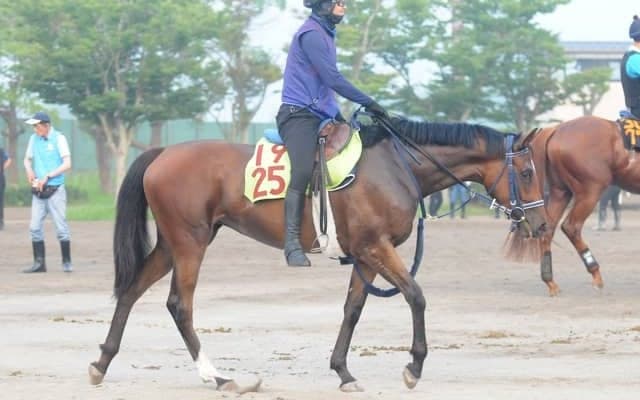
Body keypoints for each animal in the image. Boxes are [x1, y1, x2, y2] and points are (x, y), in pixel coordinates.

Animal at [88, 116, 548, 393]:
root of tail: (163, 153)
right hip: (190, 243)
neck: (396, 166)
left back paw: (102, 362)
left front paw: (343, 370)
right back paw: (216, 376)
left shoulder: (365, 256)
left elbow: (353, 309)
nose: (541, 225)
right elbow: (416, 296)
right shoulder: (376, 248)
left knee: (130, 292)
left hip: (173, 244)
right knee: (179, 304)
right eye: (527, 172)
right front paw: (414, 367)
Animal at [527, 115, 640, 296]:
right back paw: (595, 273)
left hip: (561, 192)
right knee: (571, 227)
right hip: (590, 192)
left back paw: (550, 282)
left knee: (548, 230)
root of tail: (557, 129)